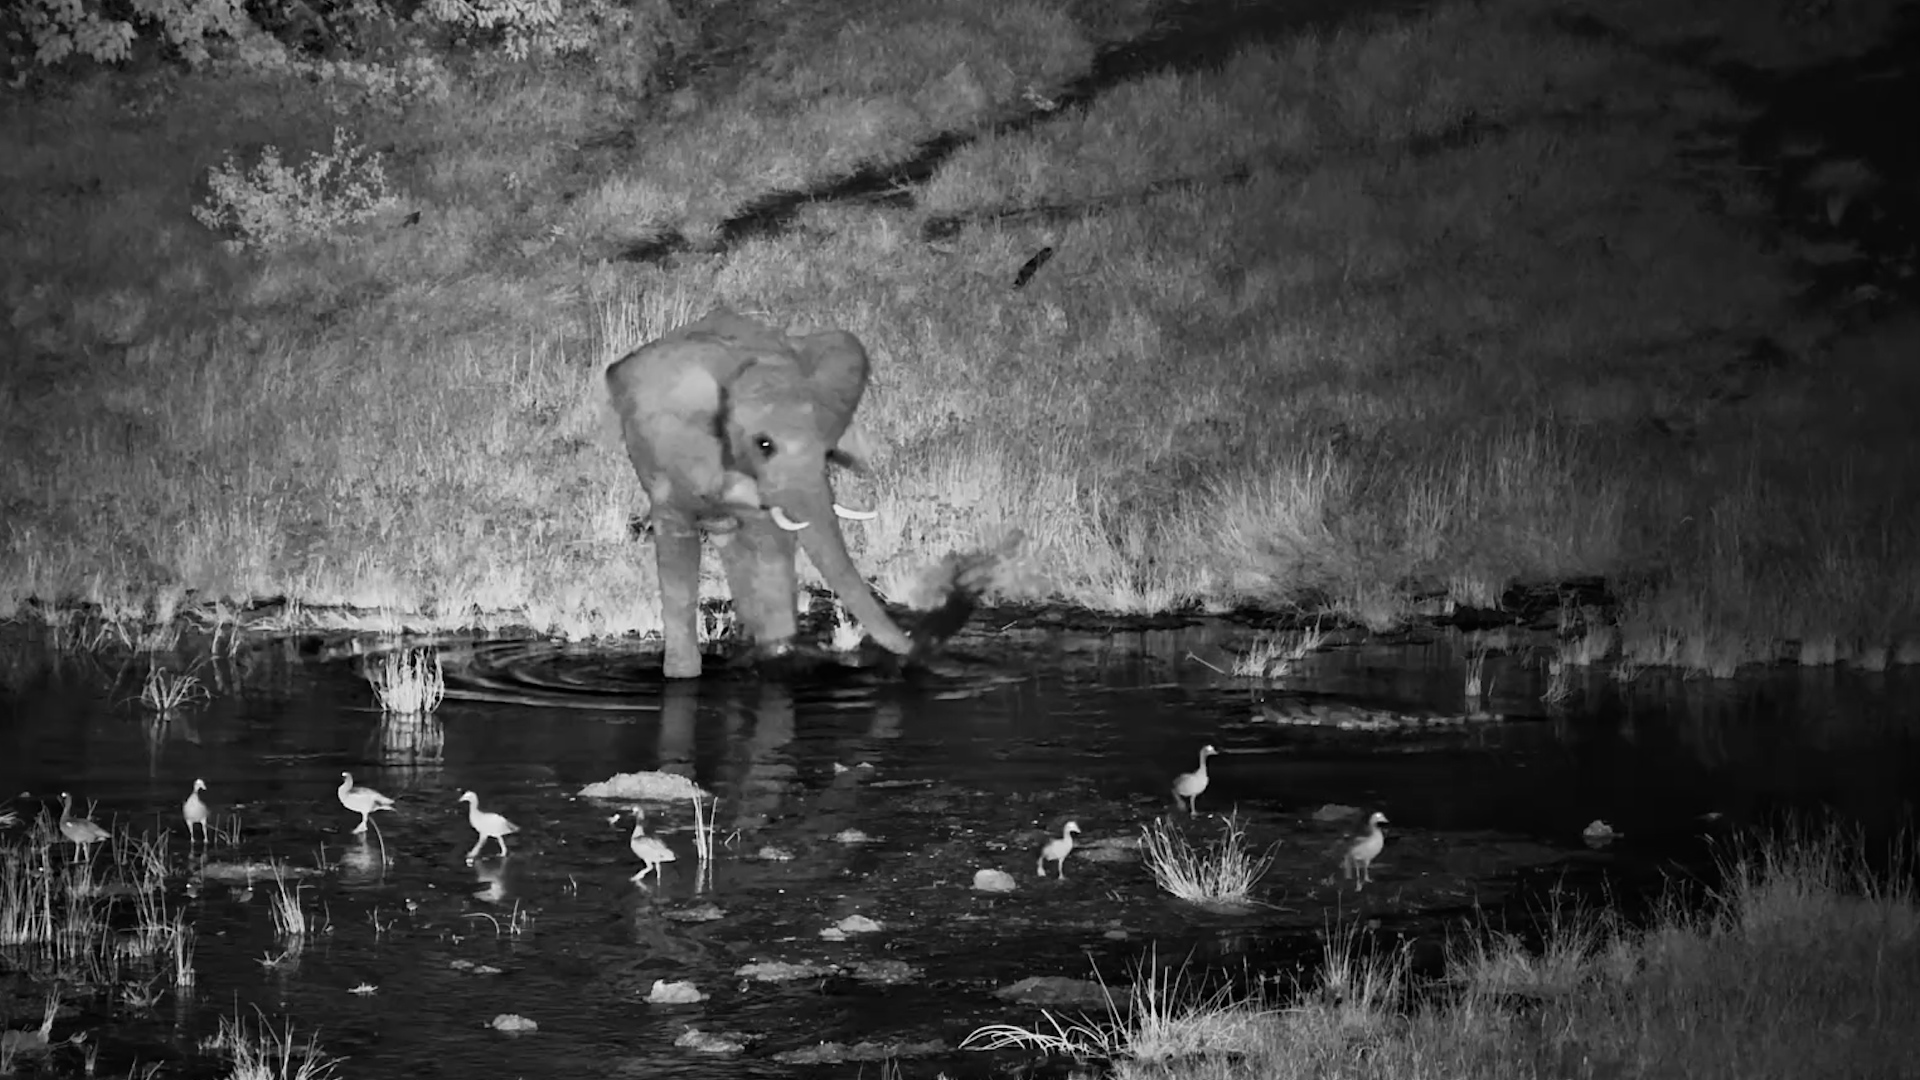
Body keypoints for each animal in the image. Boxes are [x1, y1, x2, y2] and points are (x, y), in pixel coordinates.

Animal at [605, 307, 917, 679]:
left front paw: (776, 655)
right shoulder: (669, 460)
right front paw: (682, 676)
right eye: (764, 445)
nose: (913, 648)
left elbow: (768, 543)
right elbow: (679, 551)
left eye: (828, 448)